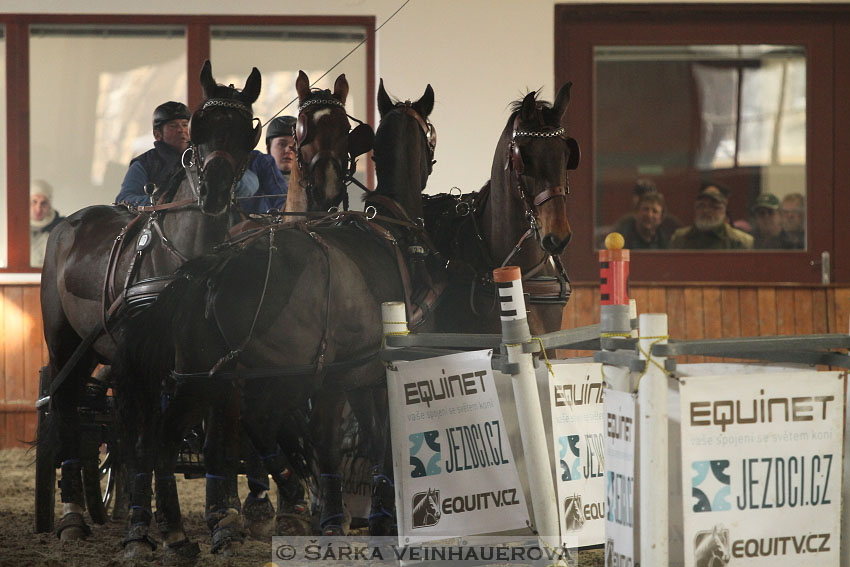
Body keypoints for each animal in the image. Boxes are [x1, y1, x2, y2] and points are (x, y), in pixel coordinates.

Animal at [36, 60, 260, 544]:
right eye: (200, 126)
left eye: (245, 131)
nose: (215, 193)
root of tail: (68, 225)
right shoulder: (151, 358)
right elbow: (151, 436)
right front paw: (157, 527)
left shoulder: (220, 359)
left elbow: (217, 435)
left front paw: (223, 519)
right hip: (64, 342)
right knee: (67, 411)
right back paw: (73, 516)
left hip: (97, 351)